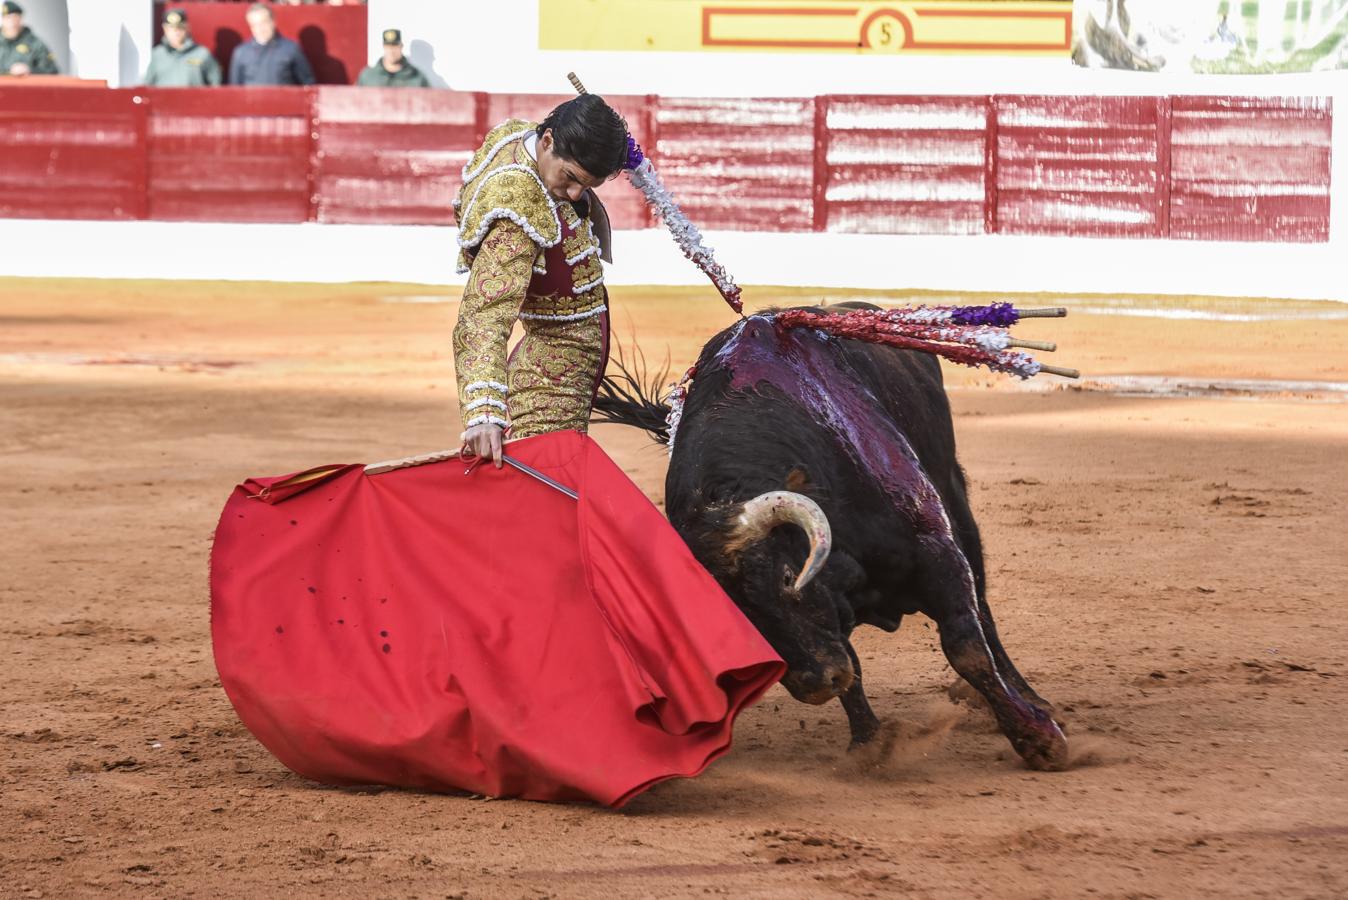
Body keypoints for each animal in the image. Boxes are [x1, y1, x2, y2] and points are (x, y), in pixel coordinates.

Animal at [595, 305, 1067, 770]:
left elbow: (967, 646)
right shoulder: (833, 617)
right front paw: (870, 746)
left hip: (954, 495)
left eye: (787, 577)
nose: (816, 684)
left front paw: (1039, 740)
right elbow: (851, 662)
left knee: (983, 609)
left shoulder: (936, 553)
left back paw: (1032, 699)